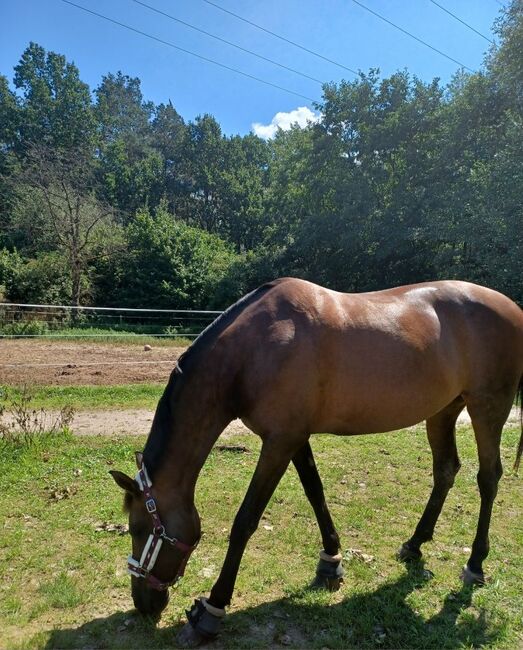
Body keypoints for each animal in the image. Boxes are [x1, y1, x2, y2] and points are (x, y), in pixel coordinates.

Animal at [108, 278, 520, 644]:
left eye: (139, 529)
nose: (144, 604)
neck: (255, 349)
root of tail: (511, 307)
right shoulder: (294, 437)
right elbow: (315, 493)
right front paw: (330, 561)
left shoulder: (279, 442)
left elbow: (245, 521)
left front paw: (211, 610)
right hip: (444, 411)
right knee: (446, 470)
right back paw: (415, 543)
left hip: (487, 407)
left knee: (488, 478)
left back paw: (475, 564)